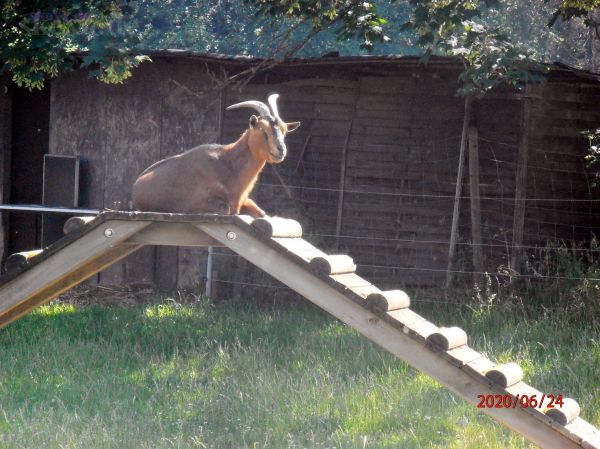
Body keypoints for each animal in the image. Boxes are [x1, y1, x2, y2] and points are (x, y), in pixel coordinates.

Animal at [132, 94, 300, 217]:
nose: (281, 150)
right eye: (262, 129)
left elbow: (262, 212)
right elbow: (225, 209)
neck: (229, 164)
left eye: (285, 130)